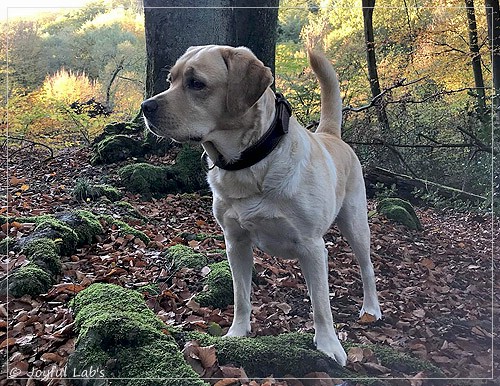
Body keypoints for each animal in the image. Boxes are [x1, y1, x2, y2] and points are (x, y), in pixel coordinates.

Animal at [143, 45, 380, 364]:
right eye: (171, 80)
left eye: (196, 83)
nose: (145, 107)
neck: (250, 164)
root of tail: (329, 134)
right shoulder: (236, 242)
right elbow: (241, 295)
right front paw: (237, 333)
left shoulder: (311, 245)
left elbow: (321, 305)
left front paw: (329, 345)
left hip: (355, 225)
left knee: (367, 268)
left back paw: (371, 309)